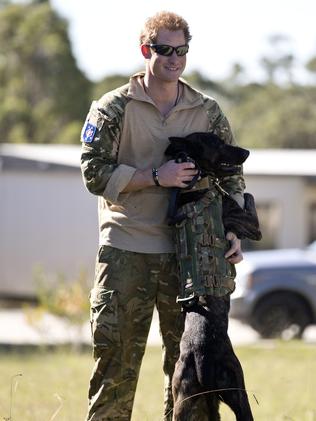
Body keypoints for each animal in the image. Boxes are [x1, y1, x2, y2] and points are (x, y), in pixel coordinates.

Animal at [165, 132, 256, 420]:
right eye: (217, 143)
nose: (247, 152)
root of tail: (201, 355)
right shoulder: (250, 222)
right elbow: (247, 198)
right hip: (239, 392)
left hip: (183, 402)